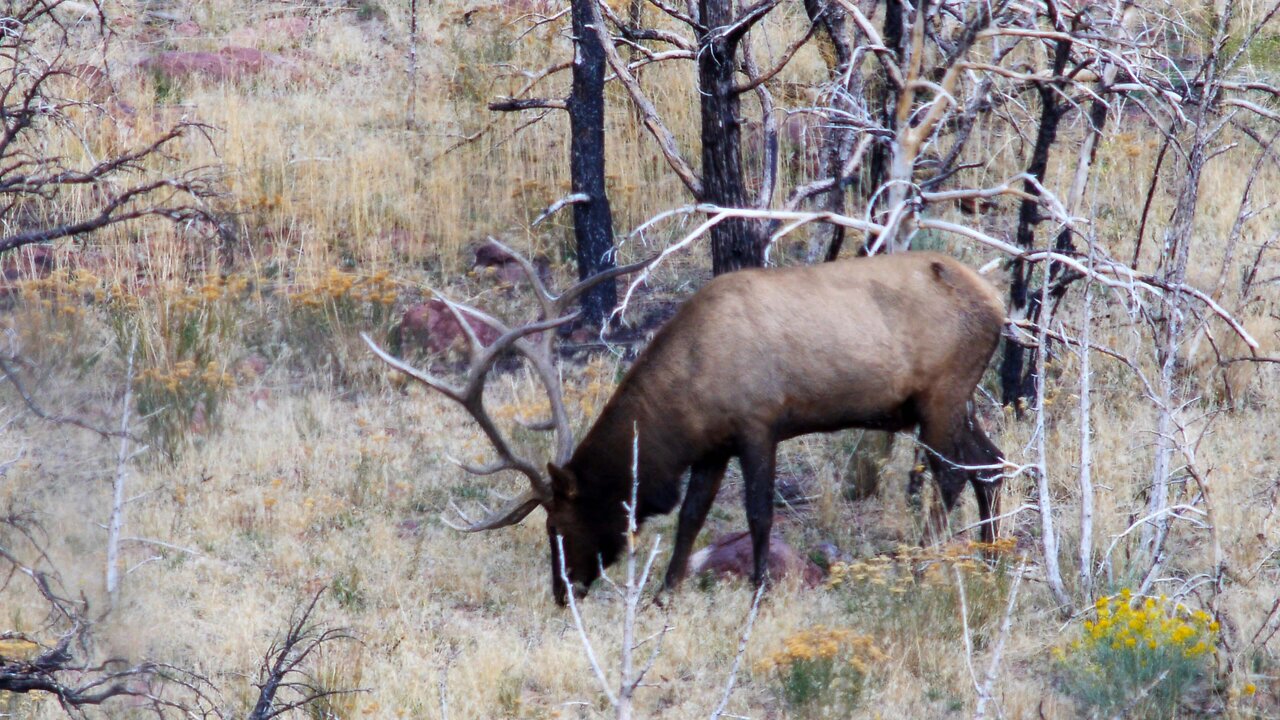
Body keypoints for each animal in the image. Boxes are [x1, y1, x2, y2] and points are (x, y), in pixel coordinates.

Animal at [363, 243, 1008, 602]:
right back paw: (992, 558)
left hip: (942, 395)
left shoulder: (757, 424)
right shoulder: (713, 446)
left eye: (558, 526)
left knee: (953, 475)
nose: (562, 592)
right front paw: (664, 596)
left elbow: (758, 513)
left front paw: (757, 593)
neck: (686, 403)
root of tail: (1001, 304)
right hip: (947, 403)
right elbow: (692, 517)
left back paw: (924, 568)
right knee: (993, 462)